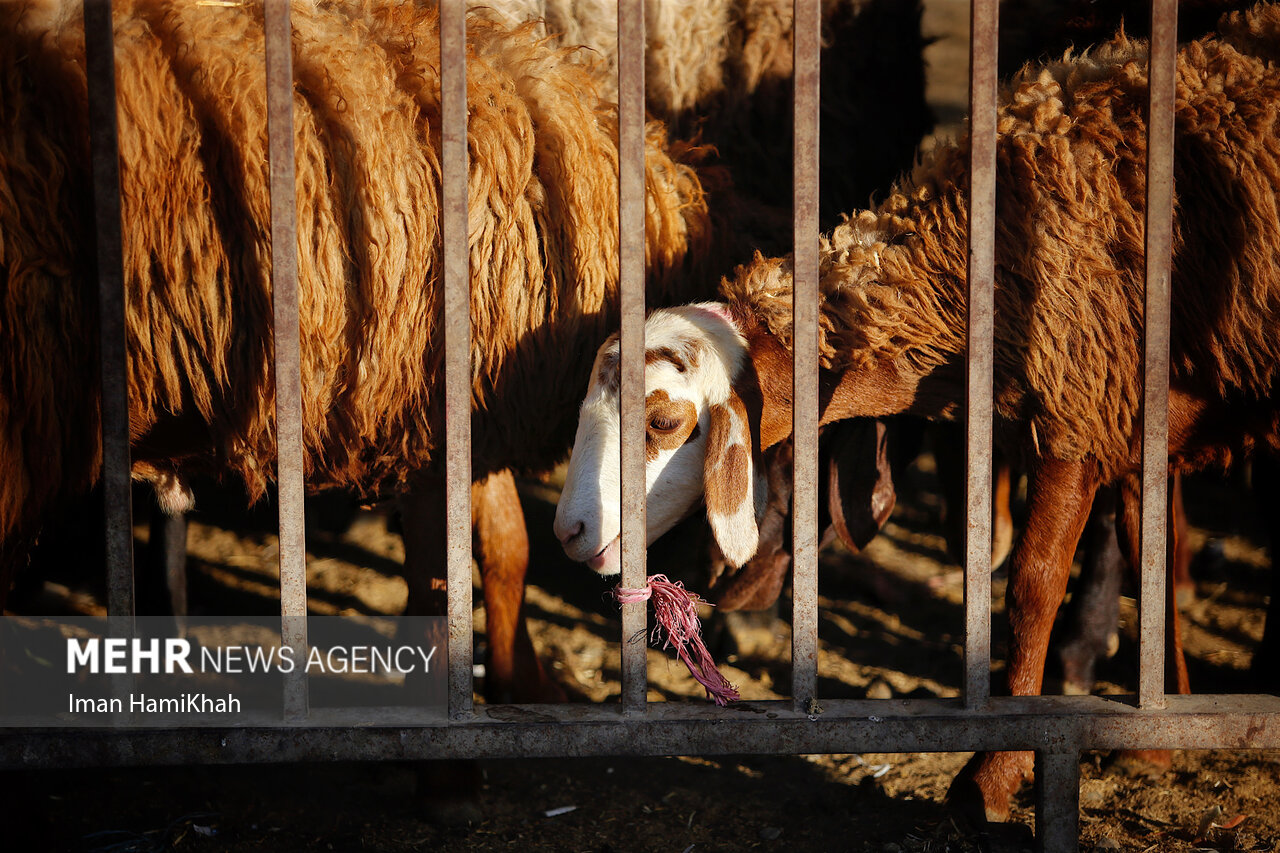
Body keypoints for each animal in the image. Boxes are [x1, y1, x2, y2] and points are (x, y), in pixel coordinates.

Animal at [555, 3, 1280, 819]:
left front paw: (992, 779)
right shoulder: (1130, 419)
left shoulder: (1078, 411)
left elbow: (1032, 591)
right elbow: (1143, 556)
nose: (569, 530)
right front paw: (1156, 734)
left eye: (663, 424)